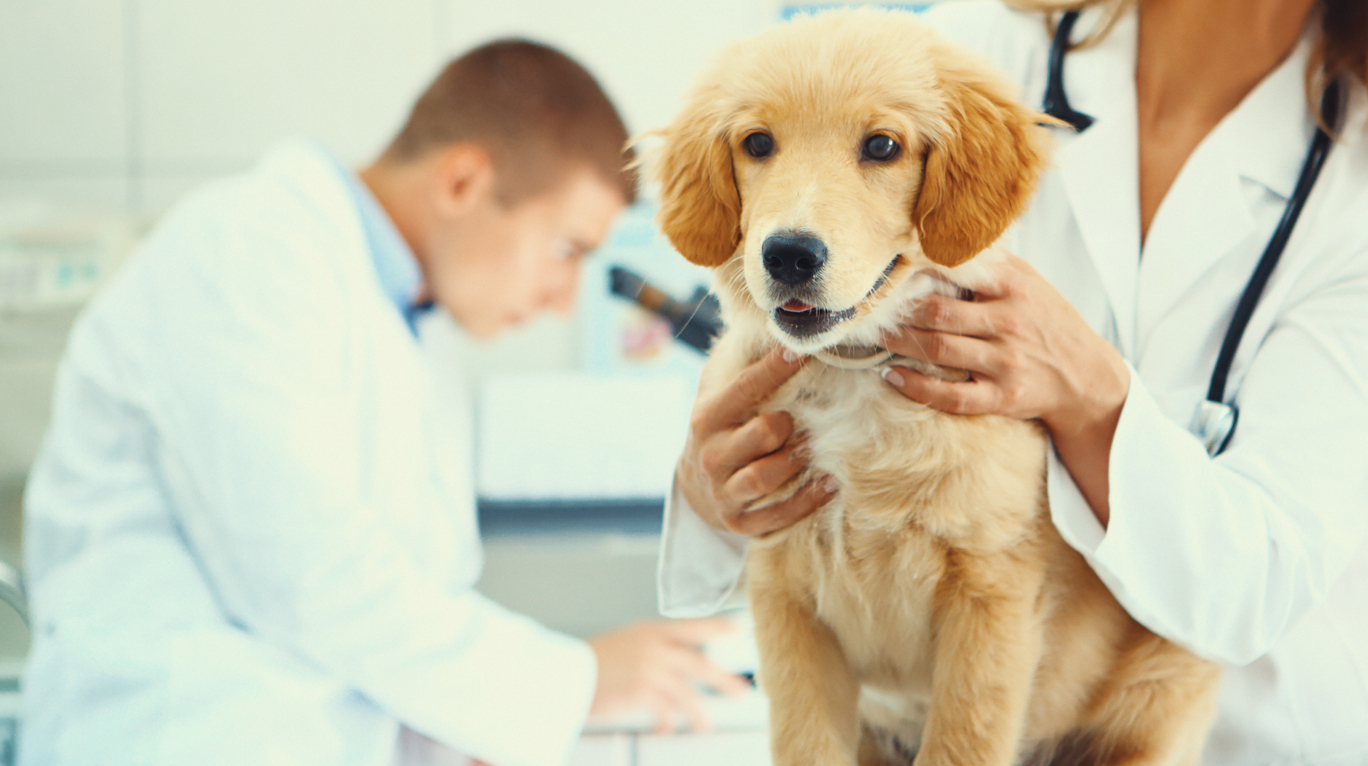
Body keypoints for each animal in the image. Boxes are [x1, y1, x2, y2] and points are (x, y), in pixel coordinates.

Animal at [645, 7, 1225, 766]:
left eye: (882, 146)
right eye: (758, 143)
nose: (789, 254)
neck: (854, 372)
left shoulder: (991, 598)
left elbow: (962, 741)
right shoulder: (785, 602)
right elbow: (806, 741)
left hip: (1164, 688)